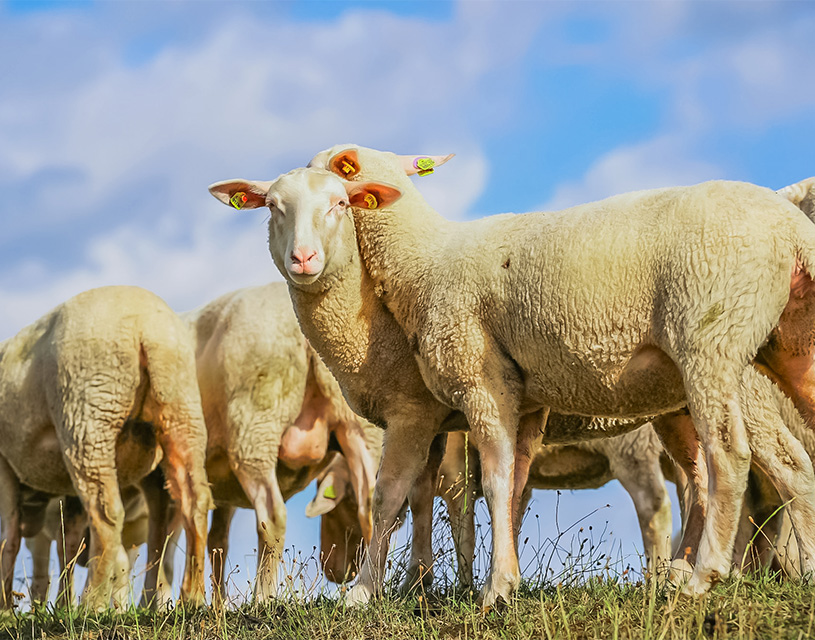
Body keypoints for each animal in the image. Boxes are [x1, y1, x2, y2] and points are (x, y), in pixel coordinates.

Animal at [0, 286, 212, 610]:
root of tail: (148, 328)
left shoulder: (4, 463)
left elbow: (9, 538)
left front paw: (6, 608)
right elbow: (67, 540)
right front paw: (60, 604)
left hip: (87, 415)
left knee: (106, 514)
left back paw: (92, 602)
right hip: (181, 407)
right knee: (195, 500)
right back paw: (193, 596)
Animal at [177, 282, 381, 602]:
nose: (339, 571)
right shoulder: (223, 487)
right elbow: (216, 541)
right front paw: (217, 605)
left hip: (254, 427)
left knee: (271, 517)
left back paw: (263, 597)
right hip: (358, 427)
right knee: (371, 502)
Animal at [210, 151, 815, 607]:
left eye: (339, 199)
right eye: (272, 208)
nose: (303, 259)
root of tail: (791, 225)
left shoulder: (437, 402)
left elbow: (404, 497)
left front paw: (379, 591)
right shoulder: (480, 408)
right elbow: (456, 496)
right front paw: (428, 586)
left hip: (715, 347)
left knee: (740, 457)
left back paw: (705, 574)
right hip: (762, 362)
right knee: (736, 472)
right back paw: (755, 570)